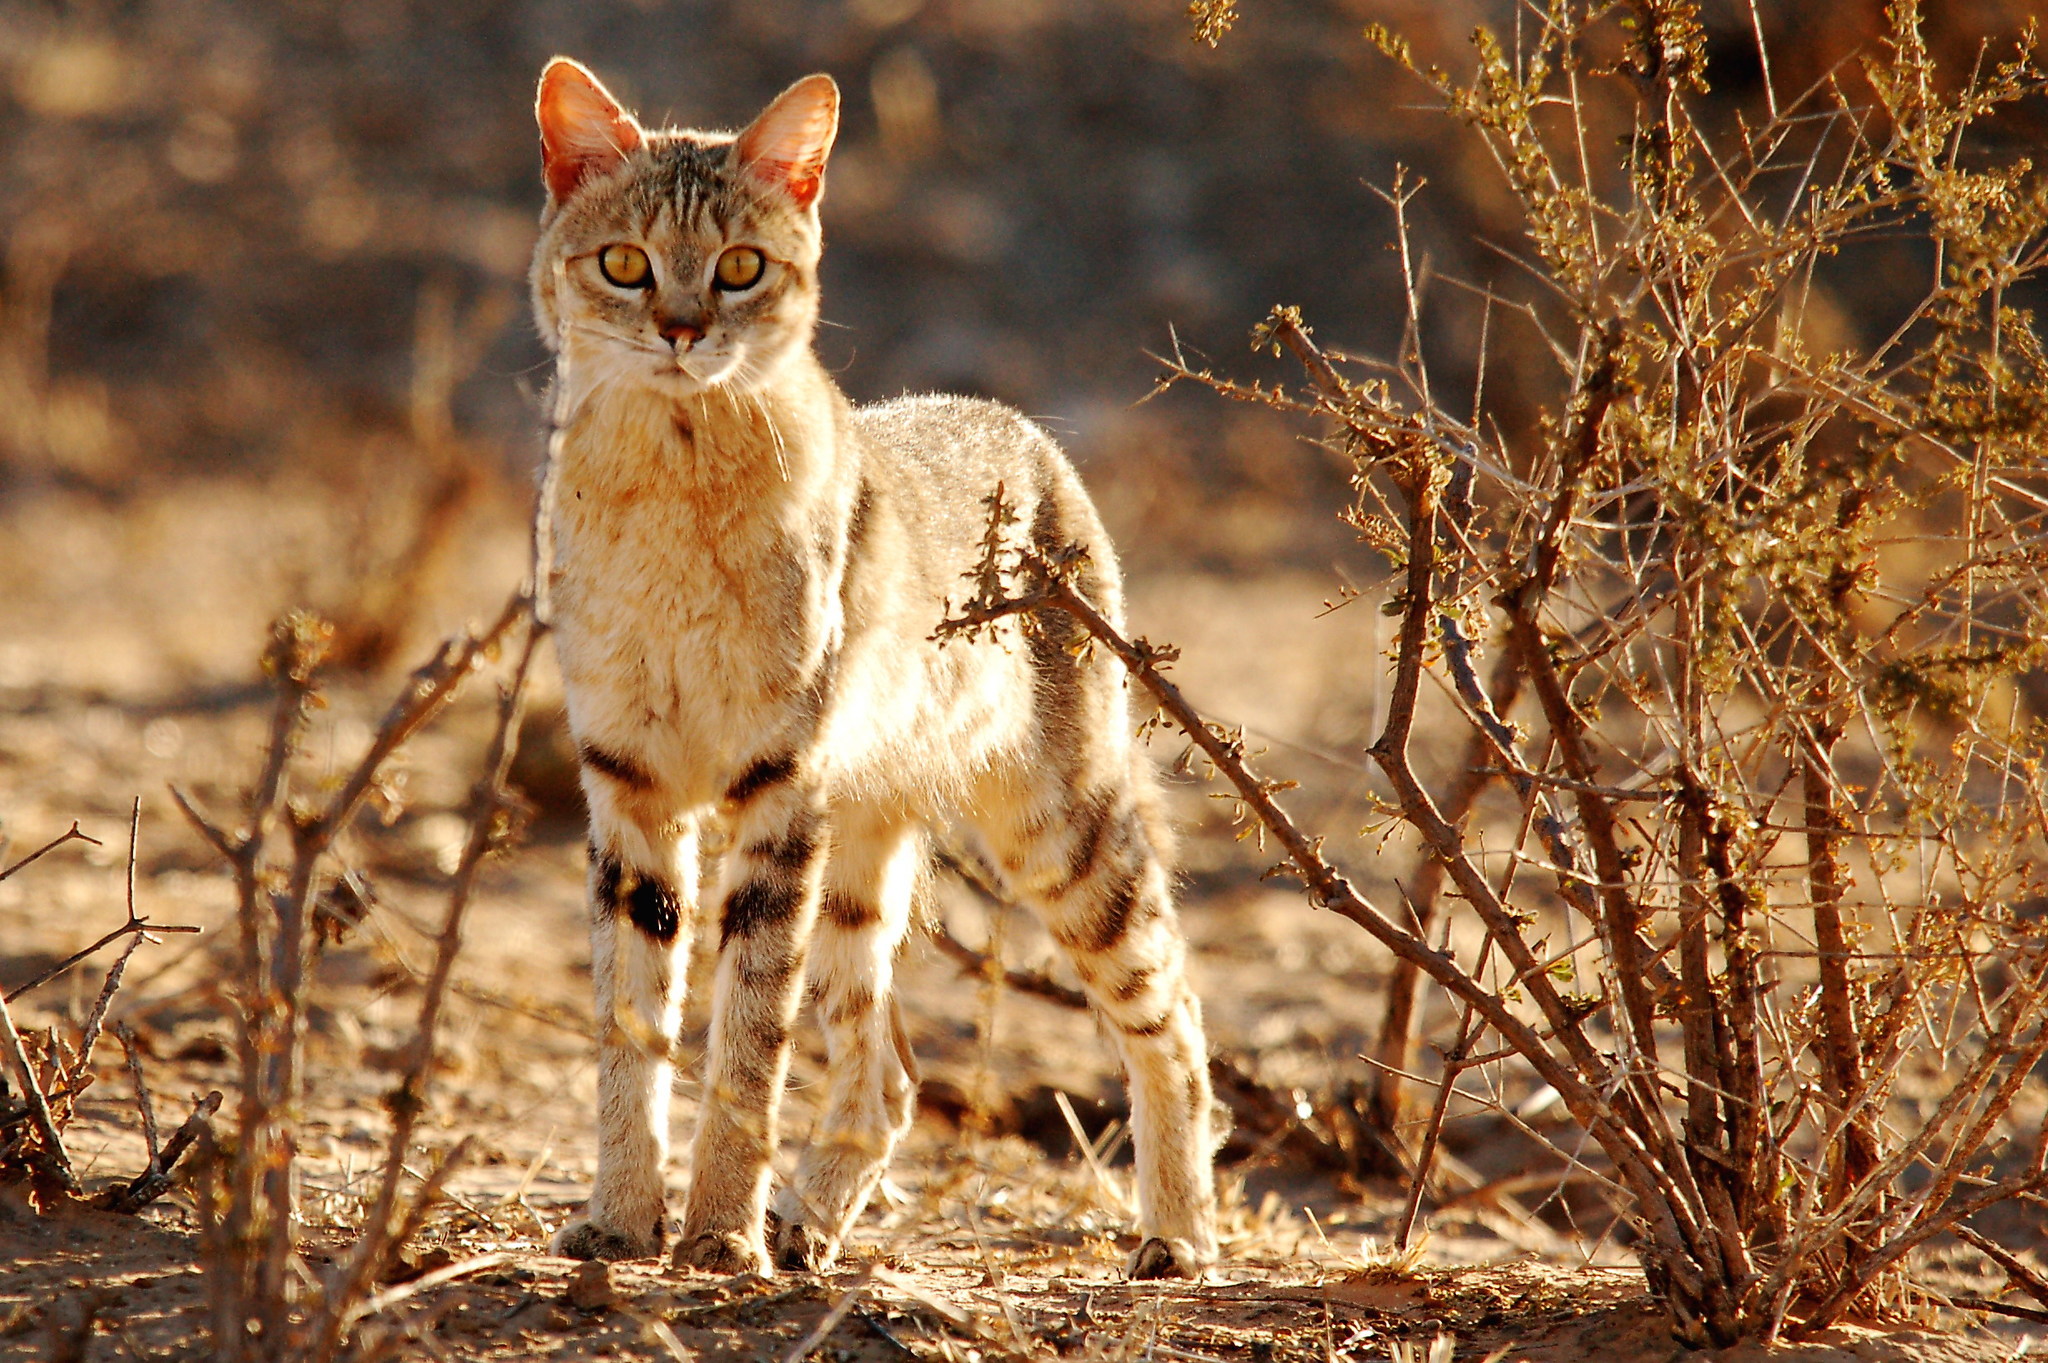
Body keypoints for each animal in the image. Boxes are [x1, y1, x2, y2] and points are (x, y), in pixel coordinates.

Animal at [532, 61, 1212, 1277]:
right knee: (891, 1072)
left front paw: (716, 1234)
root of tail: (1020, 423)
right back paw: (810, 1223)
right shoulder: (628, 783)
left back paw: (1176, 1233)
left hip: (1057, 825)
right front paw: (622, 1217)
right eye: (624, 263)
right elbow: (631, 1023)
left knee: (1173, 1012)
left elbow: (747, 1038)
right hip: (861, 858)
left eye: (740, 268)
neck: (670, 480)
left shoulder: (773, 784)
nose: (680, 329)